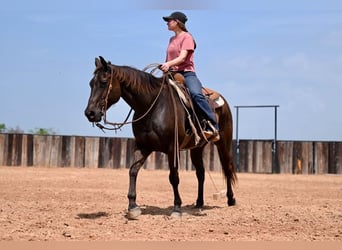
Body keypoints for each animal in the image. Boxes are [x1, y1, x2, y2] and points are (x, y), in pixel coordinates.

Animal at [84, 56, 236, 219]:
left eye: (103, 82)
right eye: (91, 83)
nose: (90, 113)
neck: (153, 105)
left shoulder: (172, 149)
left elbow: (174, 177)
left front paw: (177, 208)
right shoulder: (143, 146)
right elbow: (133, 170)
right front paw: (133, 206)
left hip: (224, 142)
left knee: (227, 168)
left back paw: (231, 199)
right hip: (197, 148)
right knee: (200, 173)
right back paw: (199, 203)